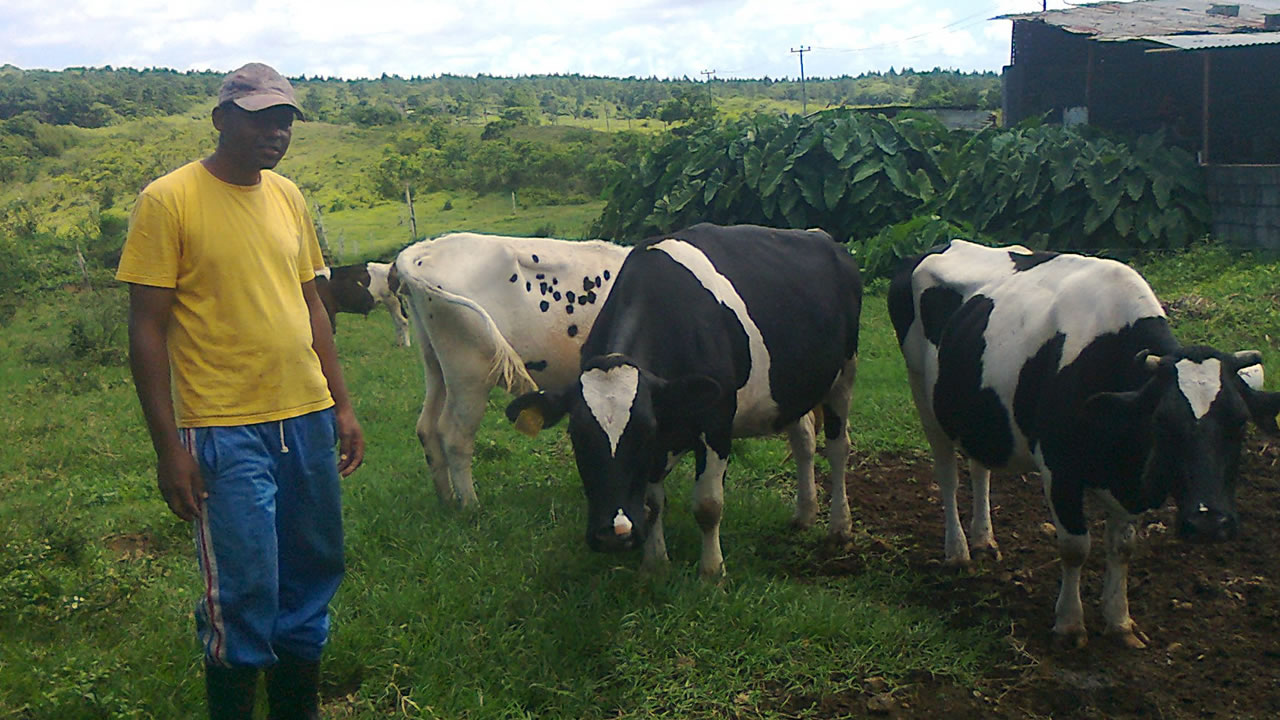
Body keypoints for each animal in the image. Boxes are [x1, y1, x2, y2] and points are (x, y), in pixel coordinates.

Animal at [389, 229, 629, 504]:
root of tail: (425, 248)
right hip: (470, 371)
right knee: (454, 436)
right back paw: (470, 505)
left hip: (435, 364)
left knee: (426, 428)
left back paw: (447, 500)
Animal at [506, 221, 860, 573]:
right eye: (576, 435)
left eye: (644, 430)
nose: (613, 535)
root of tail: (823, 237)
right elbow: (652, 504)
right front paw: (655, 562)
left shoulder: (716, 422)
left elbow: (708, 505)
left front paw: (712, 571)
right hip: (791, 387)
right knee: (803, 441)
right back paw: (804, 514)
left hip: (844, 373)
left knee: (838, 448)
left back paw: (839, 528)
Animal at [890, 238, 1280, 648]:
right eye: (1162, 421)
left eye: (1240, 422)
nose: (1208, 523)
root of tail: (944, 243)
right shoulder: (1059, 468)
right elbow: (1075, 547)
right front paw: (1069, 624)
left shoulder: (1128, 482)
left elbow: (1122, 547)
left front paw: (1120, 622)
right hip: (924, 394)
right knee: (948, 476)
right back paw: (958, 552)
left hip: (978, 409)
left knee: (980, 468)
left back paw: (984, 541)